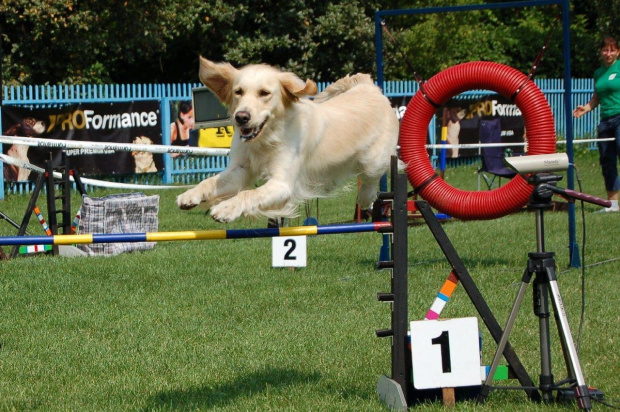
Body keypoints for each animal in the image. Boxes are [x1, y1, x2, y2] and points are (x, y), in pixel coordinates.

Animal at [176, 58, 398, 222]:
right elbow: (210, 181)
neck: (269, 136)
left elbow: (249, 194)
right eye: (238, 92)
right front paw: (190, 195)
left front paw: (226, 209)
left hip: (373, 160)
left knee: (372, 179)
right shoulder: (240, 169)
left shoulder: (282, 183)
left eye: (264, 93)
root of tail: (369, 87)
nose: (241, 117)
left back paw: (366, 199)